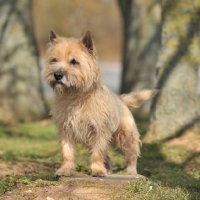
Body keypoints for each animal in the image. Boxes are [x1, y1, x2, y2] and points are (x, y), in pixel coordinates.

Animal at [42, 30, 158, 177]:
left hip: (126, 136)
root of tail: (120, 99)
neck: (76, 96)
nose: (57, 75)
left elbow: (97, 153)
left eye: (74, 62)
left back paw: (130, 172)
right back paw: (107, 170)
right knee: (107, 156)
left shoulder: (99, 131)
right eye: (54, 60)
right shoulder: (65, 130)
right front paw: (65, 170)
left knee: (130, 155)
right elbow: (67, 152)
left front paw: (97, 170)